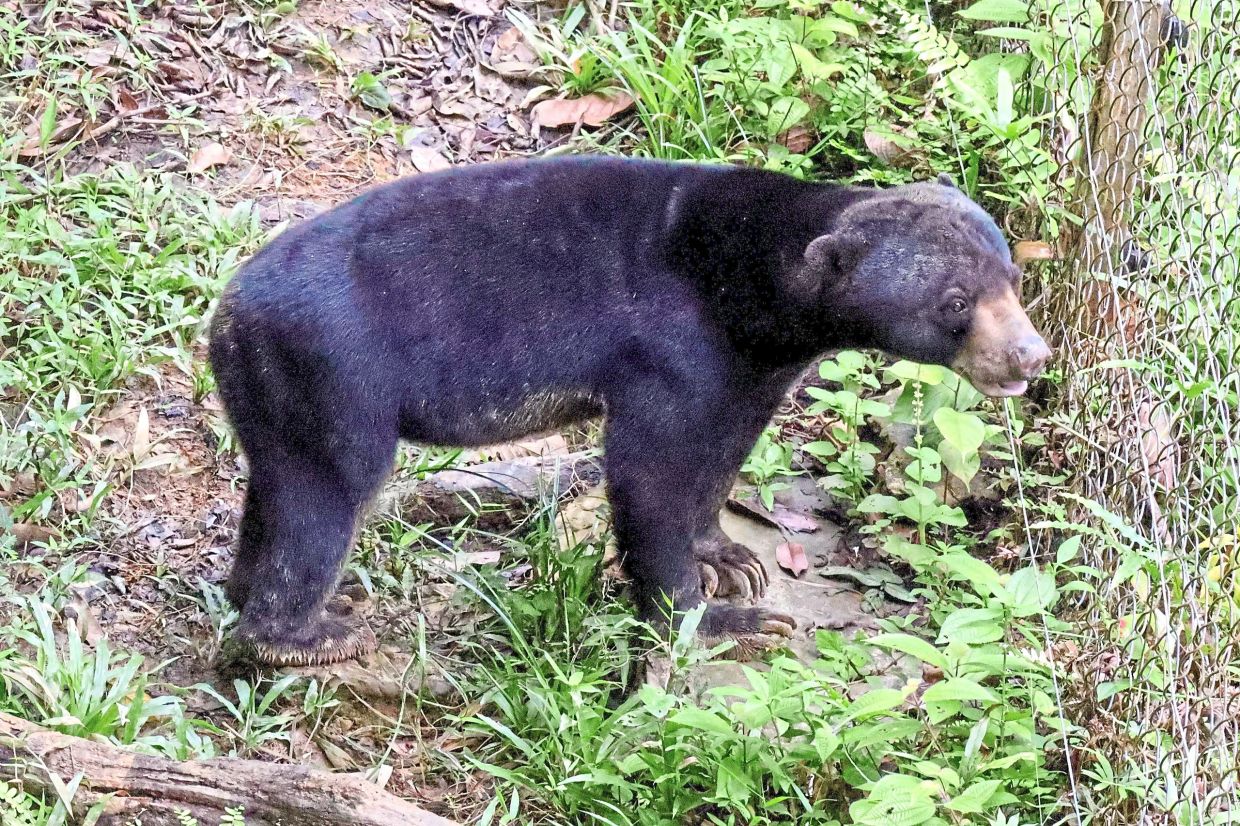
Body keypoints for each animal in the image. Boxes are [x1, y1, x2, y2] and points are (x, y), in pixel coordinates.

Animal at [207, 156, 1050, 666]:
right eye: (955, 303)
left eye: (1013, 279)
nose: (1031, 357)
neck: (755, 293)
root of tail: (228, 312)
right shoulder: (672, 351)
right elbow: (649, 474)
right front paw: (724, 619)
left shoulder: (749, 373)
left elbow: (720, 458)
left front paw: (730, 558)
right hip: (334, 381)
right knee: (326, 500)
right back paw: (306, 636)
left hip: (275, 395)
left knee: (275, 491)